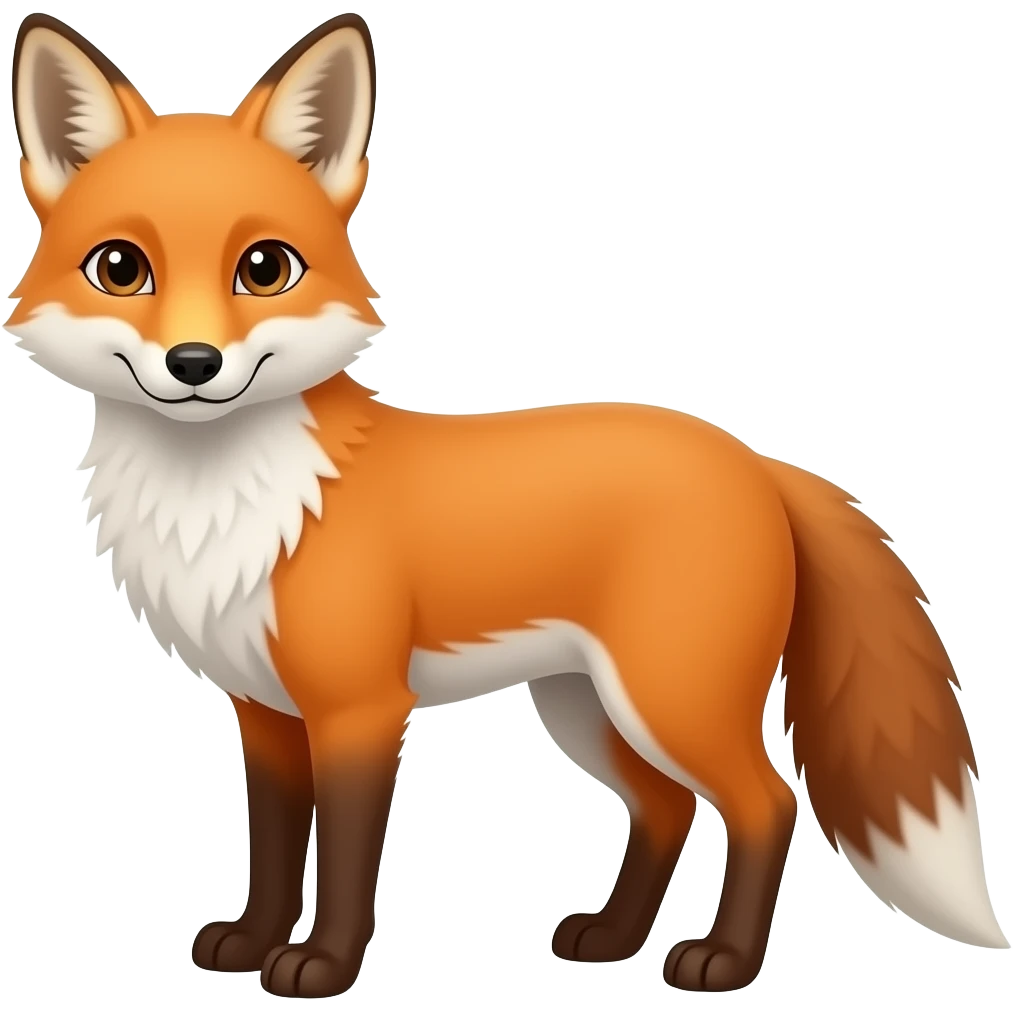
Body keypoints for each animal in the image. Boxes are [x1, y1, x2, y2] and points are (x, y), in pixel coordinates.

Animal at [5, 10, 1009, 1000]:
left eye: (263, 268)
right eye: (121, 267)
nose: (194, 364)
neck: (226, 503)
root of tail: (755, 458)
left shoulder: (361, 706)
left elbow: (346, 854)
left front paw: (322, 965)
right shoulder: (265, 709)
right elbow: (278, 843)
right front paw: (253, 941)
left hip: (668, 698)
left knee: (766, 802)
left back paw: (722, 961)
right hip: (584, 706)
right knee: (667, 805)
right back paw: (611, 938)